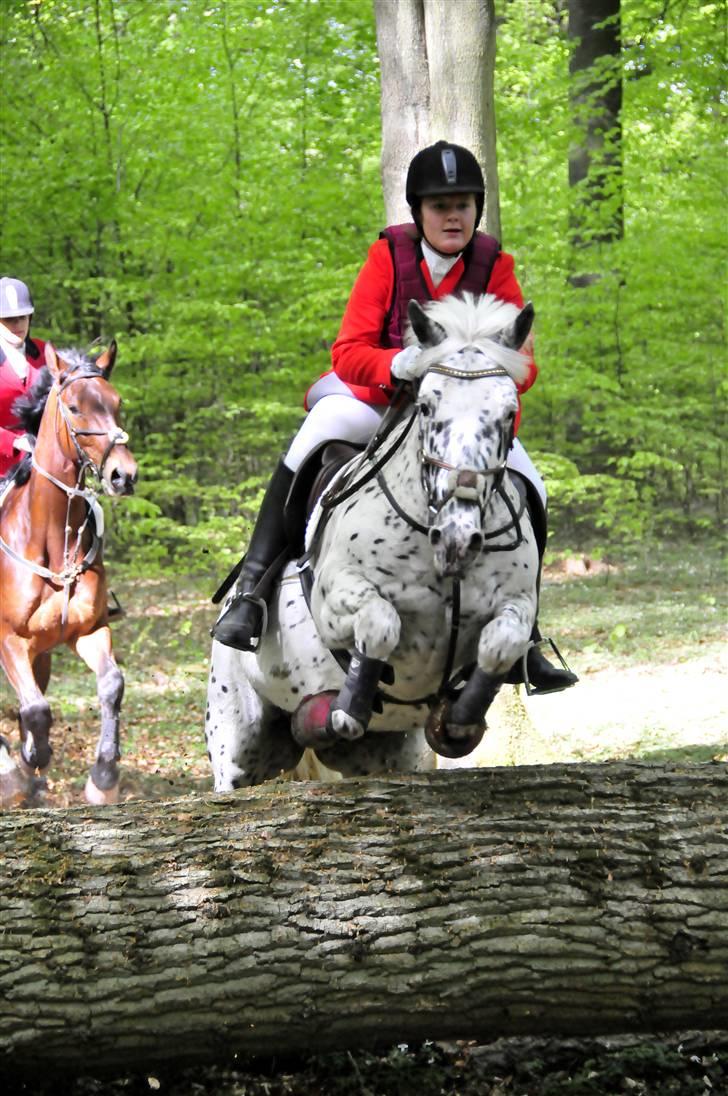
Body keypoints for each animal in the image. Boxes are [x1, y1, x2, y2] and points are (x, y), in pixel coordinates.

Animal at [0, 339, 136, 806]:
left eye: (117, 403)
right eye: (74, 407)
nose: (123, 475)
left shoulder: (88, 631)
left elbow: (111, 684)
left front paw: (103, 778)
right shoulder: (8, 639)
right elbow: (36, 708)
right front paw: (29, 761)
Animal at [205, 291, 539, 789]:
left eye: (508, 413)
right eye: (426, 407)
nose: (457, 538)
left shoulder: (516, 605)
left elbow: (504, 643)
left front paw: (459, 721)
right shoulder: (336, 602)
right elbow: (381, 623)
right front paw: (344, 710)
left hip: (394, 754)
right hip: (237, 739)